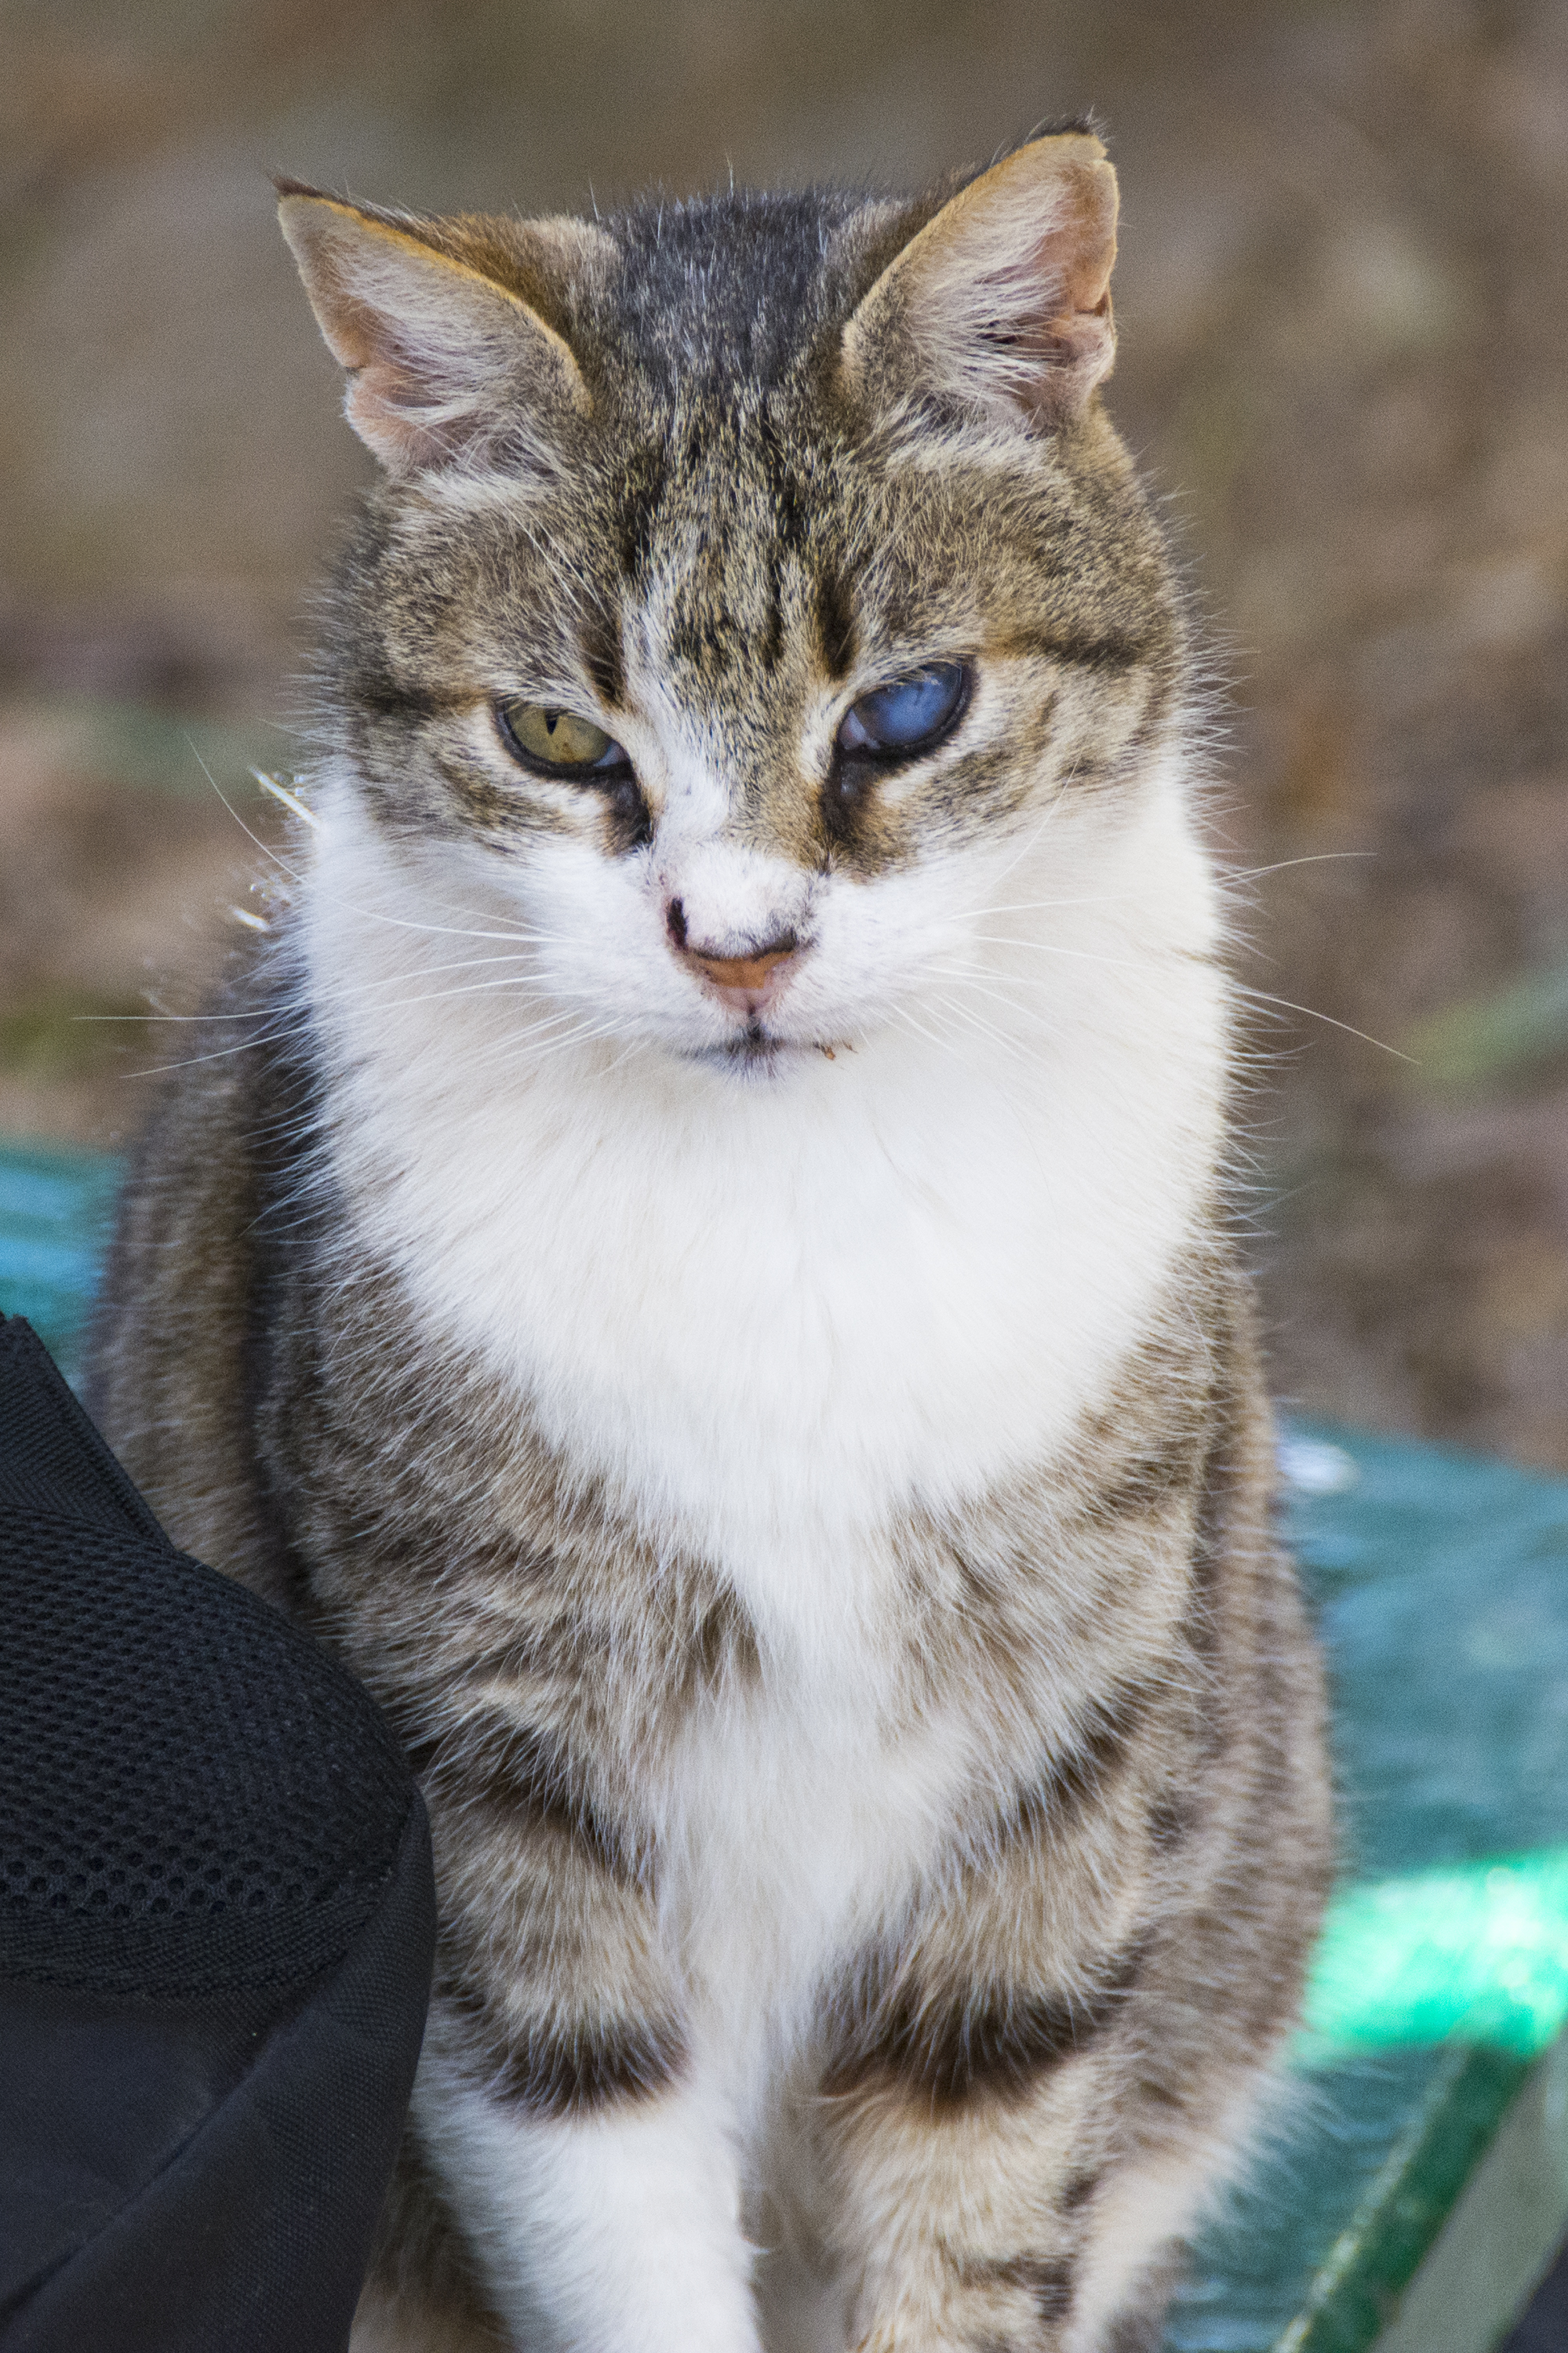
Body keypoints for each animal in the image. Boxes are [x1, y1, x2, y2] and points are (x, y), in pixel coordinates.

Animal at [92, 129, 1327, 2353]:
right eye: (561, 742)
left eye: (907, 713)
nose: (737, 948)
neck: (792, 1200)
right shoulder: (494, 1766)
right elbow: (601, 2177)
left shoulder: (1053, 1766)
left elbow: (977, 2182)